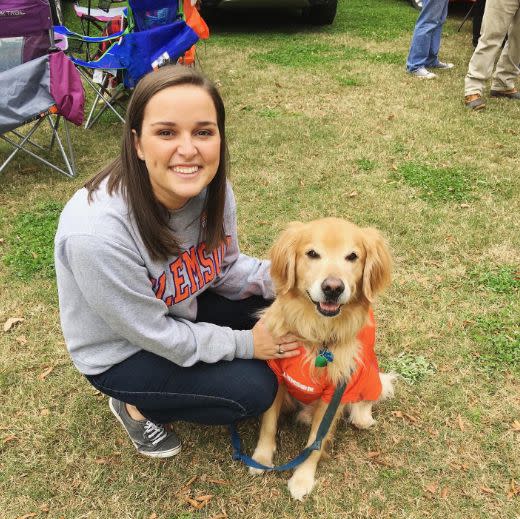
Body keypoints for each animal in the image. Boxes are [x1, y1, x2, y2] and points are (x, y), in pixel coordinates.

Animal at [250, 217, 396, 502]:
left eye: (352, 256)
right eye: (312, 253)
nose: (333, 288)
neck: (318, 336)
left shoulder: (335, 392)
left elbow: (315, 442)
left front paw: (302, 478)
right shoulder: (278, 376)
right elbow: (268, 424)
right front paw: (261, 458)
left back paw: (363, 416)